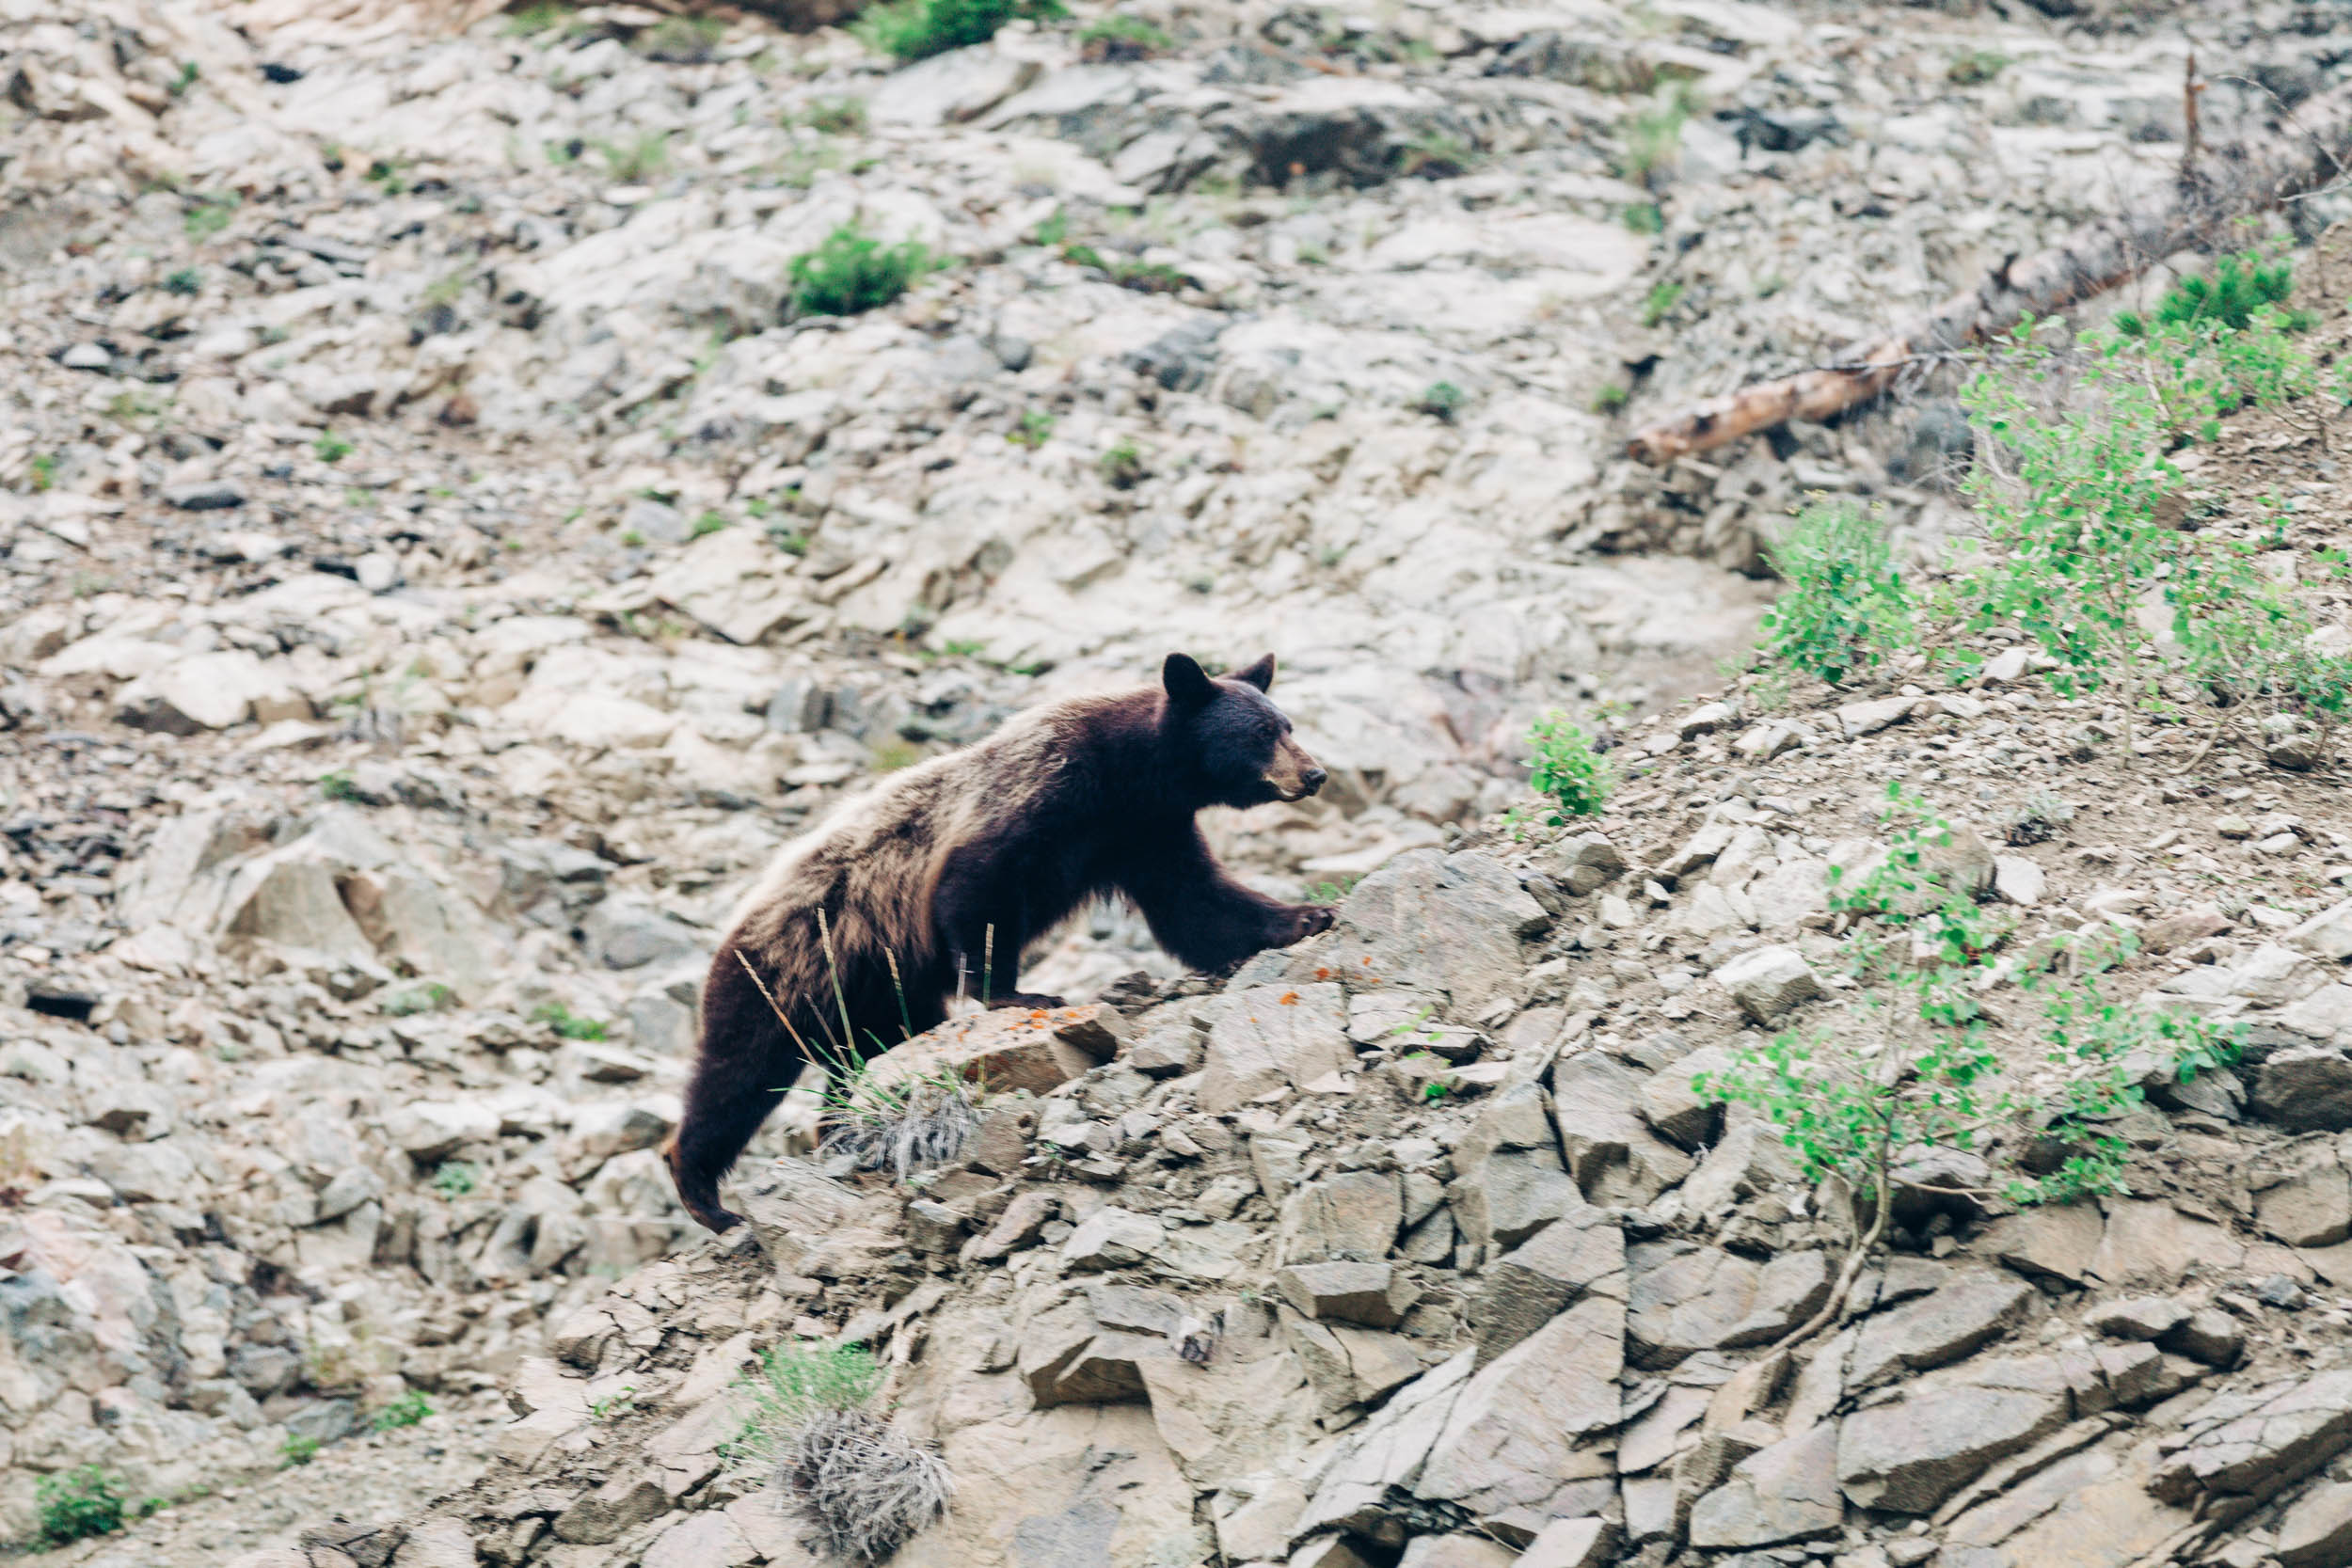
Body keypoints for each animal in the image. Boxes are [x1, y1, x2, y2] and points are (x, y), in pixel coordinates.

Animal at [663, 657, 1336, 1231]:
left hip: (878, 999)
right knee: (738, 1075)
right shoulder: (1043, 793)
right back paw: (707, 1198)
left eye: (1287, 723)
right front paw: (1014, 992)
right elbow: (979, 890)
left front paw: (1307, 915)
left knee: (862, 1059)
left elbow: (1198, 905)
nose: (1315, 773)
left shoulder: (1144, 831)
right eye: (1262, 731)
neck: (1134, 773)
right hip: (795, 970)